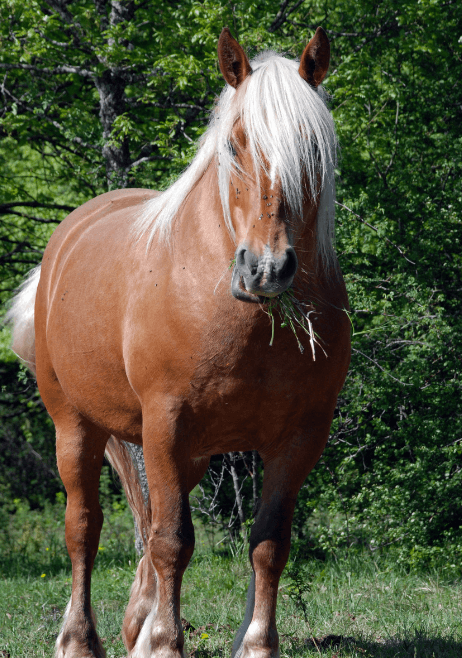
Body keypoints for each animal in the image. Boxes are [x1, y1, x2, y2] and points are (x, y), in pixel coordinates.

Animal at [7, 27, 350, 658]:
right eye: (235, 147)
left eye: (314, 150)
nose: (267, 270)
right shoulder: (166, 423)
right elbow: (172, 540)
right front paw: (166, 642)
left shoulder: (299, 436)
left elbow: (268, 543)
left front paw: (255, 643)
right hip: (77, 426)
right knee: (85, 526)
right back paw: (79, 638)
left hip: (184, 452)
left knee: (144, 524)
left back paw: (134, 626)